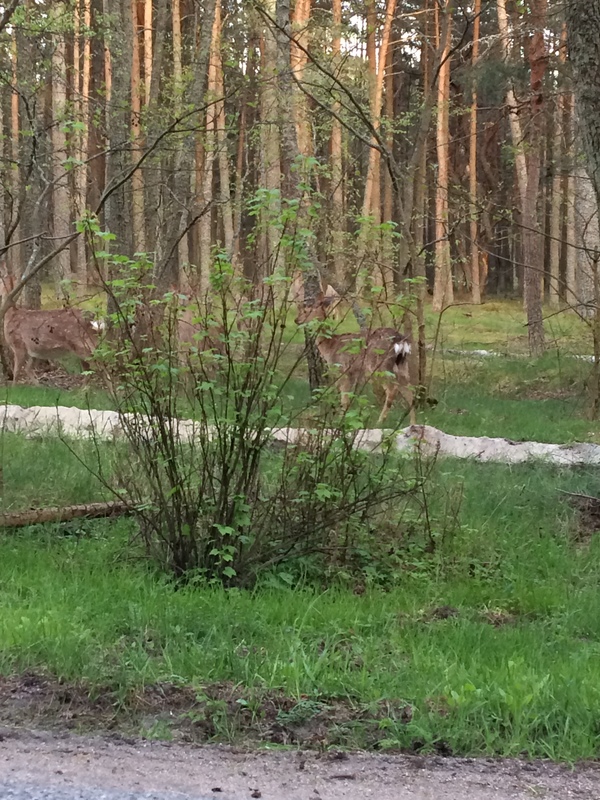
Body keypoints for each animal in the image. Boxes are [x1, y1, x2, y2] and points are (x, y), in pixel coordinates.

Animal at [296, 292, 418, 424]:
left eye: (307, 310)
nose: (296, 320)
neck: (330, 347)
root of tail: (400, 340)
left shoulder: (342, 369)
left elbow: (344, 398)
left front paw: (340, 421)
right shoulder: (353, 373)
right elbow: (346, 396)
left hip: (379, 364)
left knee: (392, 389)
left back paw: (379, 421)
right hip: (402, 365)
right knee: (409, 390)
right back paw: (413, 423)